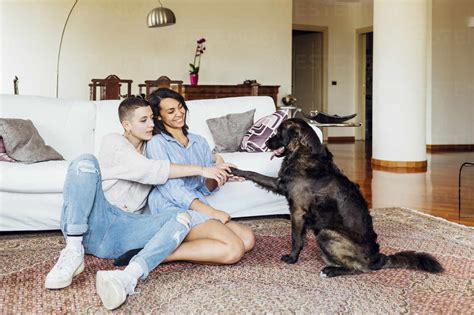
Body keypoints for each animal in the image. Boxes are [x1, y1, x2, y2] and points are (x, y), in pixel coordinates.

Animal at [231, 119, 444, 278]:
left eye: (278, 132)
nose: (267, 144)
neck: (304, 152)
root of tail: (377, 258)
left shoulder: (297, 210)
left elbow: (295, 238)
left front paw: (292, 258)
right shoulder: (281, 186)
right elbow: (254, 174)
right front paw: (235, 170)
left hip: (326, 233)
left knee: (360, 268)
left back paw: (331, 270)